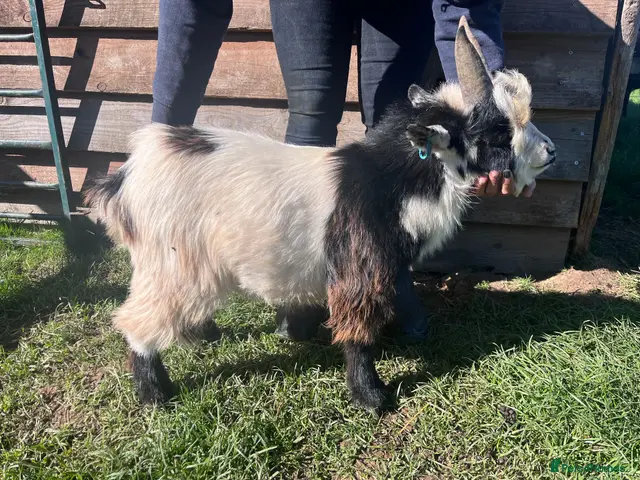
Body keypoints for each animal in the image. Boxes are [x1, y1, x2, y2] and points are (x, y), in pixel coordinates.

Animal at [86, 17, 557, 412]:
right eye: (498, 134)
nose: (551, 152)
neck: (390, 182)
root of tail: (128, 175)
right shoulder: (358, 268)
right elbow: (358, 334)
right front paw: (372, 397)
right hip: (170, 262)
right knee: (136, 320)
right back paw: (155, 395)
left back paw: (202, 336)